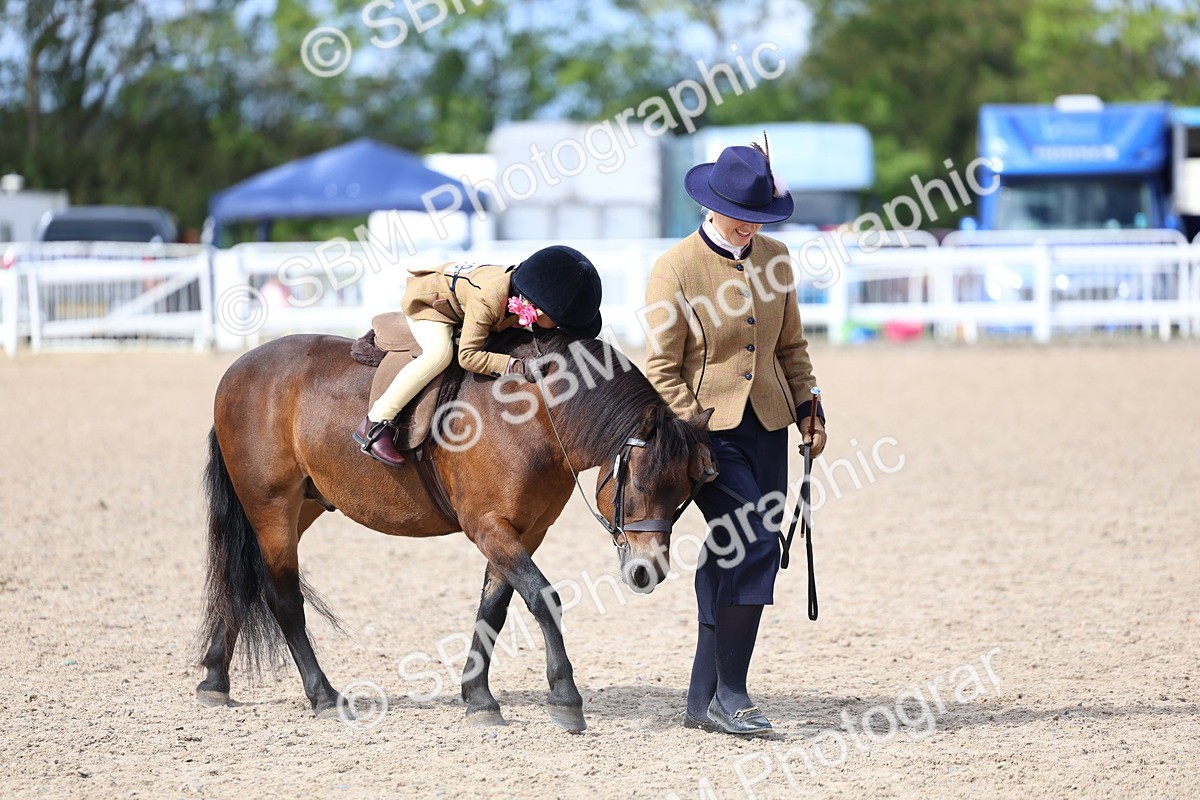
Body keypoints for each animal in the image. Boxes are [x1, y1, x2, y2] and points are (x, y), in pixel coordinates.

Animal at [196, 329, 715, 731]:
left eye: (686, 496)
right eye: (641, 484)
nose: (648, 572)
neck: (535, 413)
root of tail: (239, 370)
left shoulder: (524, 532)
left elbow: (494, 609)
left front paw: (479, 697)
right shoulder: (488, 526)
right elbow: (542, 597)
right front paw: (565, 696)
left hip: (299, 507)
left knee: (241, 582)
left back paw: (215, 679)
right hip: (271, 507)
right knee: (282, 596)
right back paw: (322, 695)